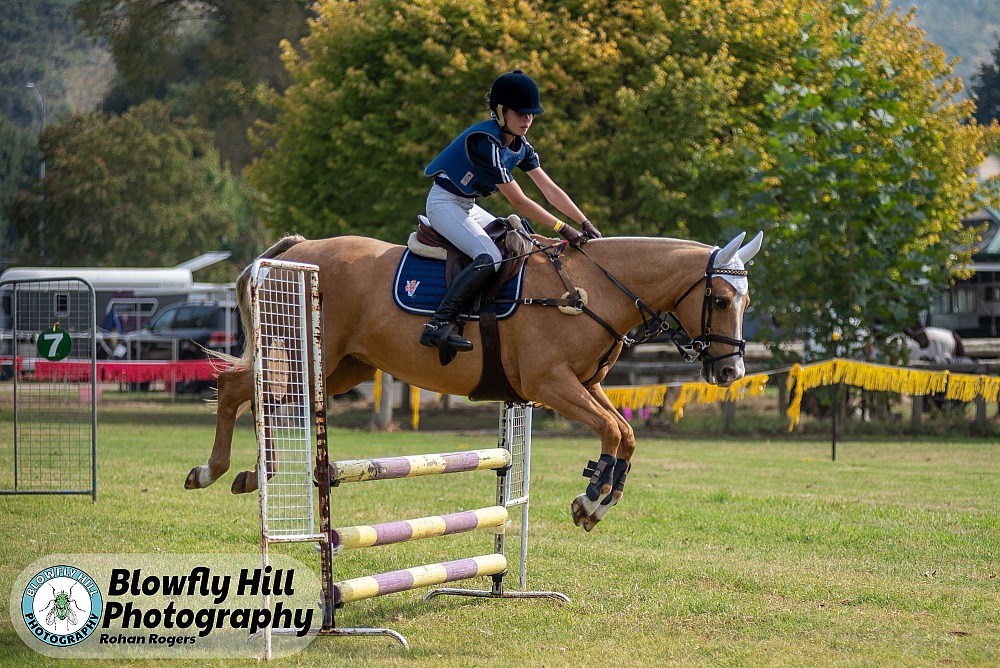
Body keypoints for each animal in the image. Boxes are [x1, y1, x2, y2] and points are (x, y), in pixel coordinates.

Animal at [188, 230, 760, 532]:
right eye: (720, 300)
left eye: (746, 301)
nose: (730, 372)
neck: (590, 291)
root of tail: (293, 250)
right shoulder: (550, 385)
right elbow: (613, 431)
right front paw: (593, 498)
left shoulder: (586, 385)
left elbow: (625, 432)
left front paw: (596, 500)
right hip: (304, 351)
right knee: (242, 391)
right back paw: (212, 471)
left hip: (344, 367)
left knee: (270, 401)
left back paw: (255, 476)